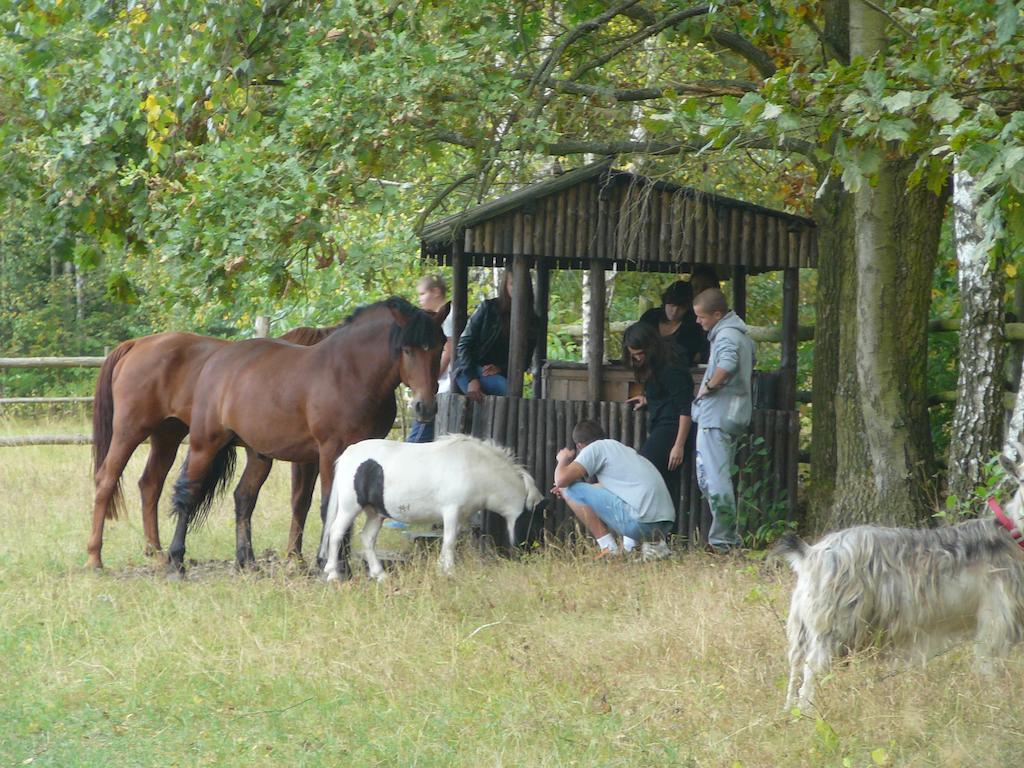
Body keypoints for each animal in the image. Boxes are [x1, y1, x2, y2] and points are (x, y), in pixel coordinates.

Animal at [88, 321, 335, 569]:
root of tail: (137, 344)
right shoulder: (309, 457)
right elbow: (301, 500)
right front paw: (295, 557)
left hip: (167, 436)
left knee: (150, 484)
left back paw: (157, 552)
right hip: (129, 432)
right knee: (106, 481)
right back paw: (95, 557)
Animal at [167, 299, 444, 577]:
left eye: (440, 346)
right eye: (407, 349)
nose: (425, 407)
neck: (350, 373)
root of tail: (216, 361)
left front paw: (341, 565)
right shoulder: (330, 450)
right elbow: (329, 506)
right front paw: (333, 566)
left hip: (259, 455)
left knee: (244, 498)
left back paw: (247, 562)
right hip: (205, 444)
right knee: (188, 495)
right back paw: (176, 562)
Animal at [317, 436, 544, 581]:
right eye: (534, 521)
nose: (532, 556)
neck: (474, 468)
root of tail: (348, 453)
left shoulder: (461, 516)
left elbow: (451, 540)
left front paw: (442, 568)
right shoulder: (451, 511)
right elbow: (450, 540)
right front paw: (449, 571)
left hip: (376, 513)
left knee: (367, 538)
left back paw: (379, 574)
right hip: (349, 508)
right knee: (336, 533)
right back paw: (333, 574)